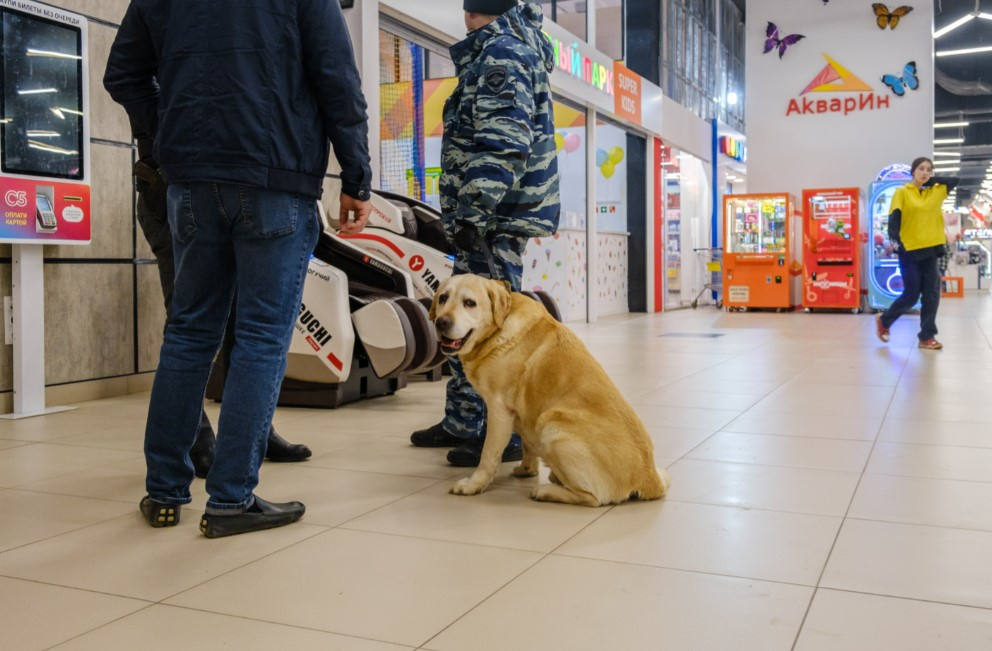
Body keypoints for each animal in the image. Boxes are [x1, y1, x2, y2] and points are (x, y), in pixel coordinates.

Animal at [430, 272, 672, 506]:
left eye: (469, 303)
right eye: (443, 298)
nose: (441, 323)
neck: (498, 329)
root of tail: (649, 477)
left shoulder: (499, 410)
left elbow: (488, 455)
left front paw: (473, 485)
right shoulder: (522, 414)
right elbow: (527, 445)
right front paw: (527, 469)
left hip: (551, 424)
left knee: (592, 499)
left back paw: (547, 491)